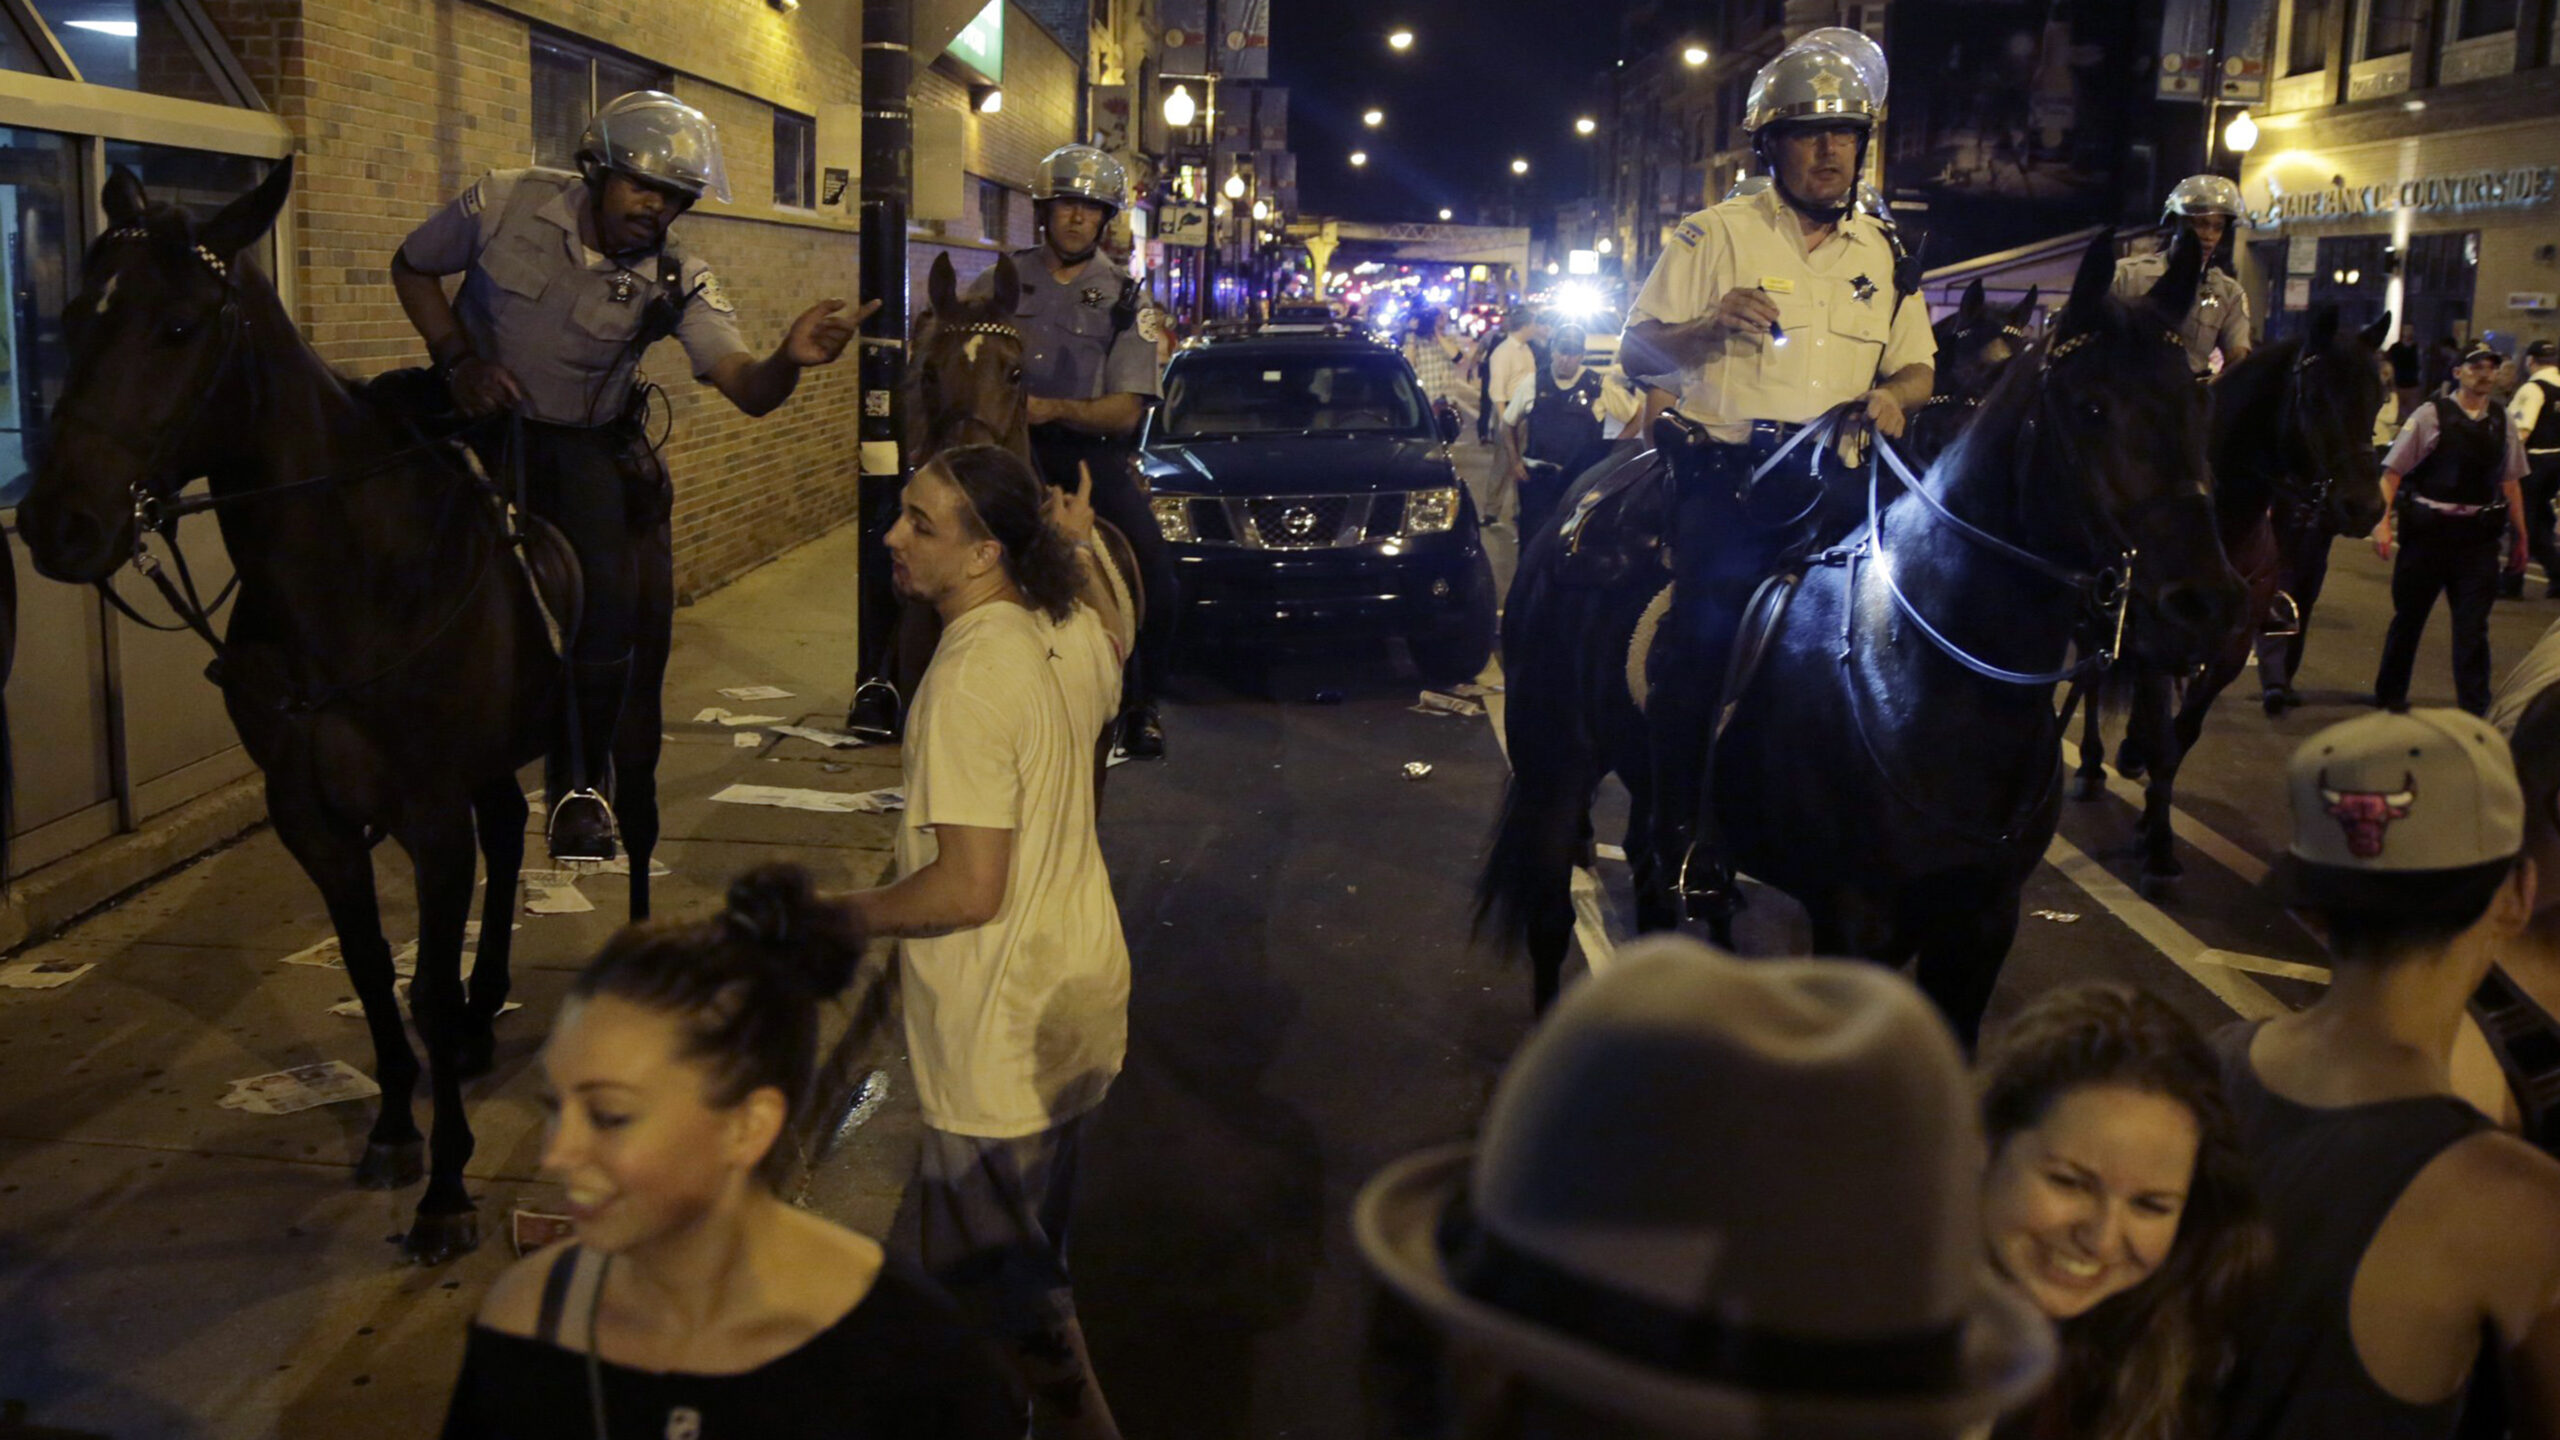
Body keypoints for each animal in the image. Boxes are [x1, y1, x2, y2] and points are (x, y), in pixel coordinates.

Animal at [15, 159, 670, 1255]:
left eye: (179, 327)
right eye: (71, 314)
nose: (56, 523)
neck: (351, 573)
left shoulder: (428, 817)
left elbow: (423, 990)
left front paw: (446, 1187)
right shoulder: (312, 817)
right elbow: (370, 975)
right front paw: (398, 1128)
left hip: (634, 704)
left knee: (639, 817)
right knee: (507, 834)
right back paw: (491, 1005)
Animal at [1484, 238, 2242, 1040]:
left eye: (2201, 400)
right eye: (2090, 407)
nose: (2208, 606)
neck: (1931, 676)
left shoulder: (1982, 926)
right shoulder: (1857, 924)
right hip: (1555, 766)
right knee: (1549, 921)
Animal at [2068, 308, 2385, 881]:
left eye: (2376, 398)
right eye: (2314, 398)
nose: (2366, 507)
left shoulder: (2231, 652)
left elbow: (2184, 732)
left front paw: (2152, 824)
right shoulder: (2154, 647)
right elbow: (2162, 737)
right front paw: (2158, 845)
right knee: (2092, 680)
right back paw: (2091, 762)